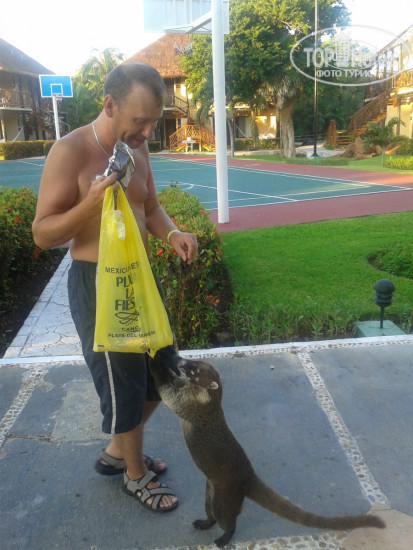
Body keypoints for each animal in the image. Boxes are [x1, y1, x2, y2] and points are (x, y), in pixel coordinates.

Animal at [149, 353, 385, 548]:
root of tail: (249, 476)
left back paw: (226, 534)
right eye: (192, 364)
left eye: (195, 370)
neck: (212, 396)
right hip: (212, 488)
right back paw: (207, 522)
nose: (178, 360)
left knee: (225, 517)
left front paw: (155, 367)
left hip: (227, 493)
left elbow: (171, 397)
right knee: (210, 510)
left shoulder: (195, 406)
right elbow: (176, 386)